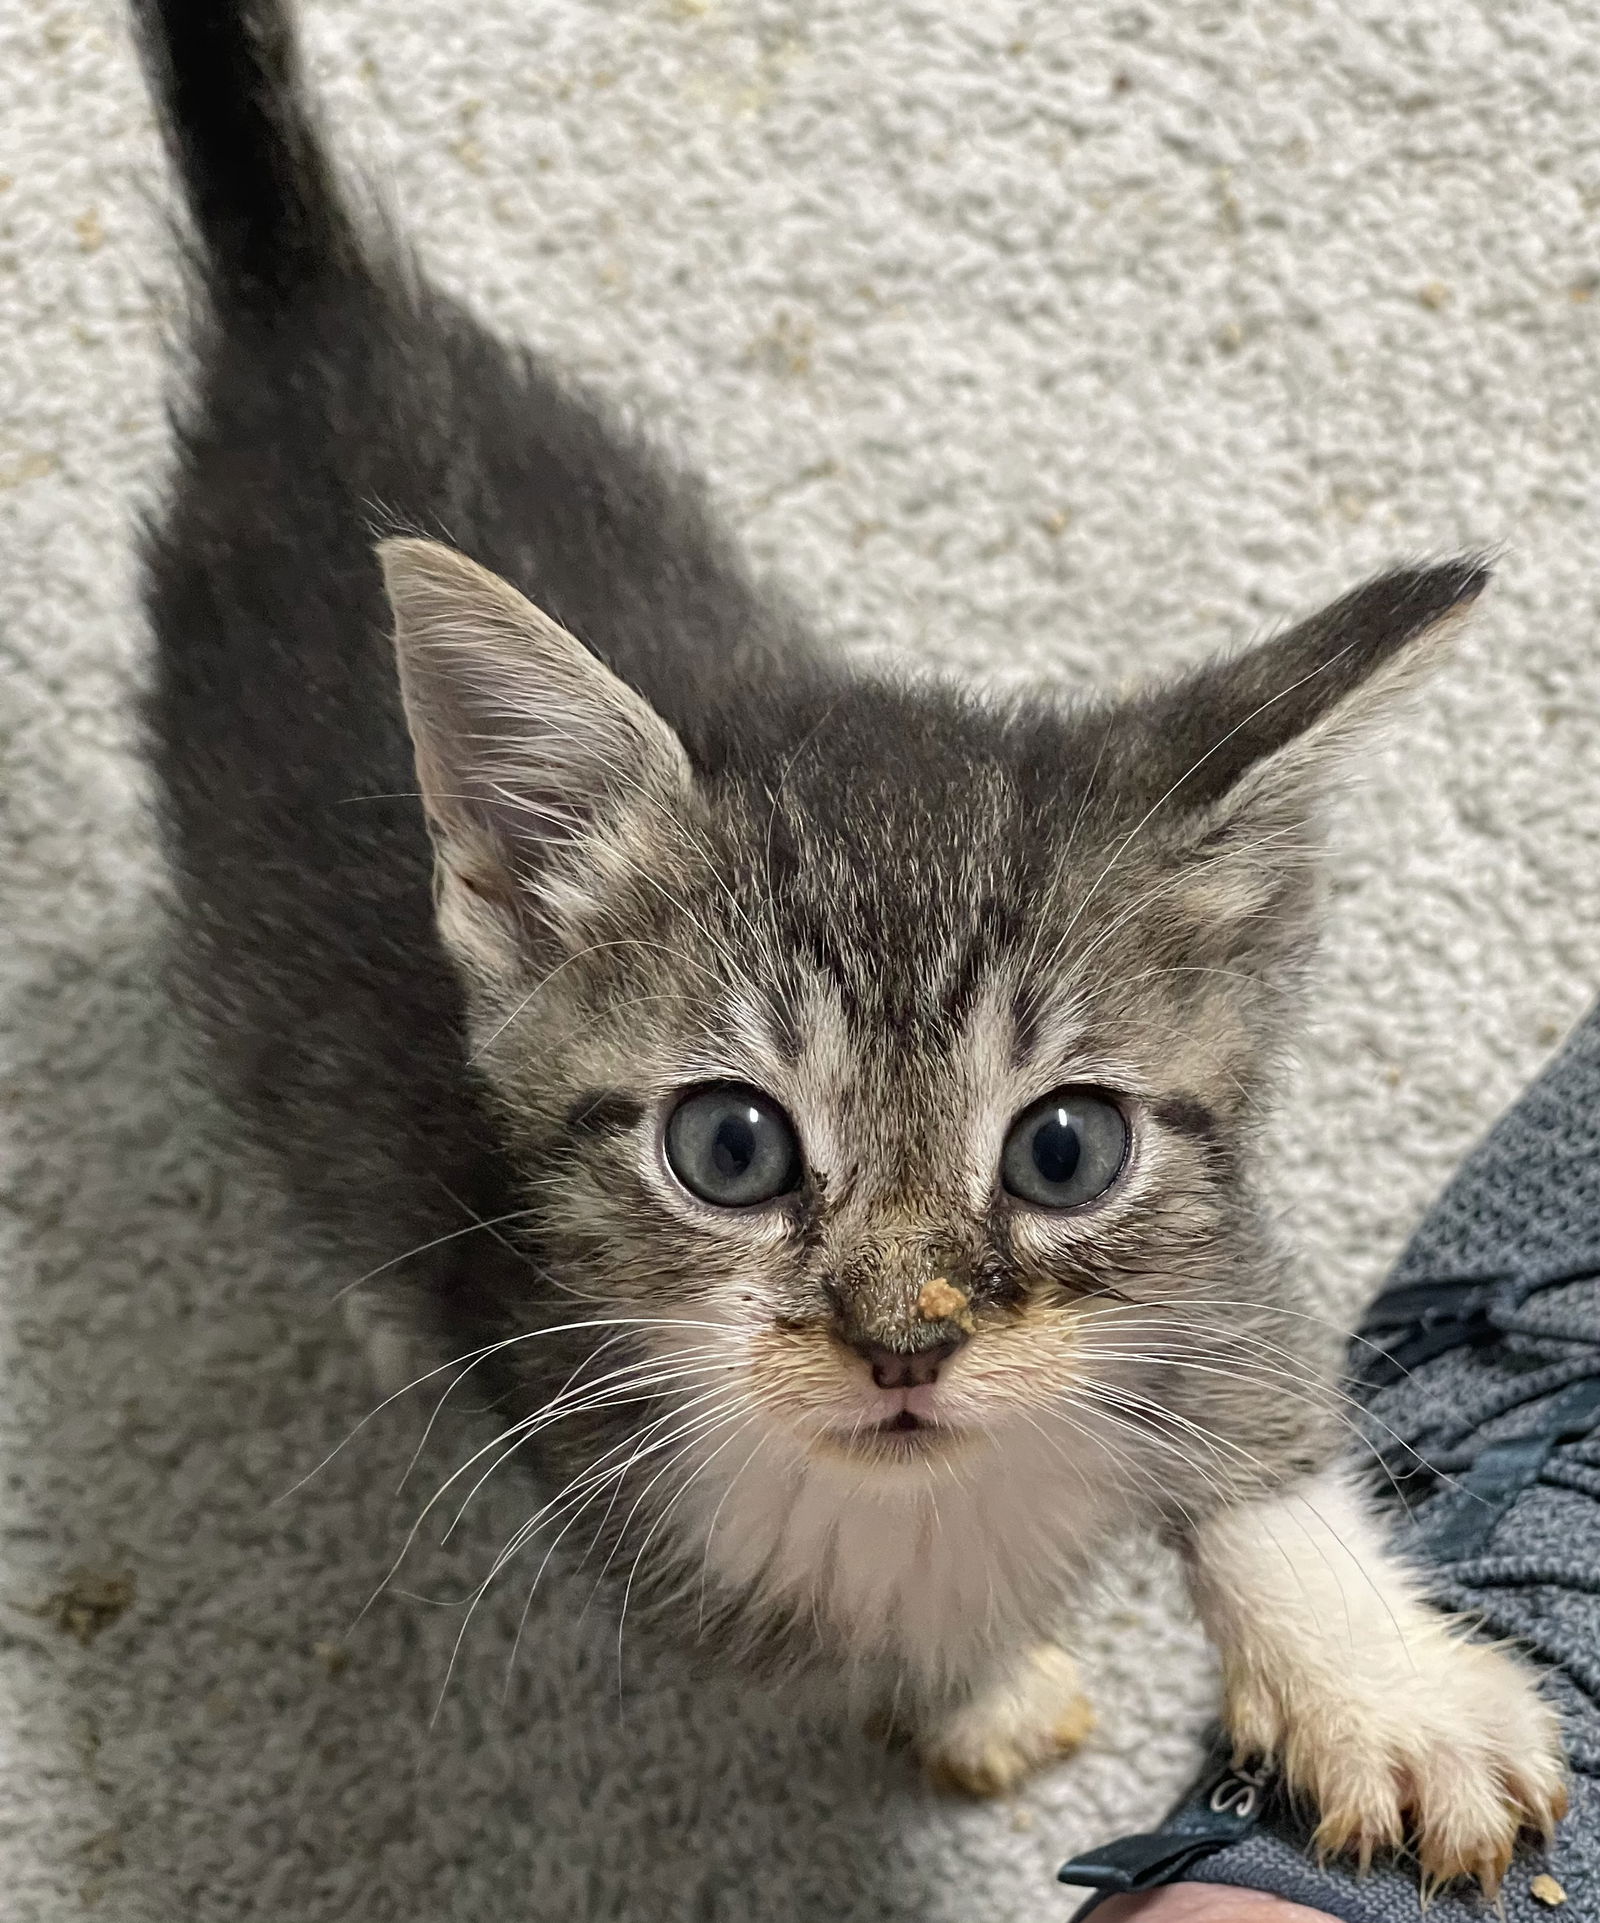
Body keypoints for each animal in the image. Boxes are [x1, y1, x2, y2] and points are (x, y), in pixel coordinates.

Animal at [137, 0, 1561, 1892]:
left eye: (1066, 1146)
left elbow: (1255, 1399)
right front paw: (972, 1674)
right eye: (730, 1147)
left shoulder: (1208, 1237)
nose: (904, 1347)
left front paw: (1382, 1690)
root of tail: (308, 307)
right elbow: (869, 1610)